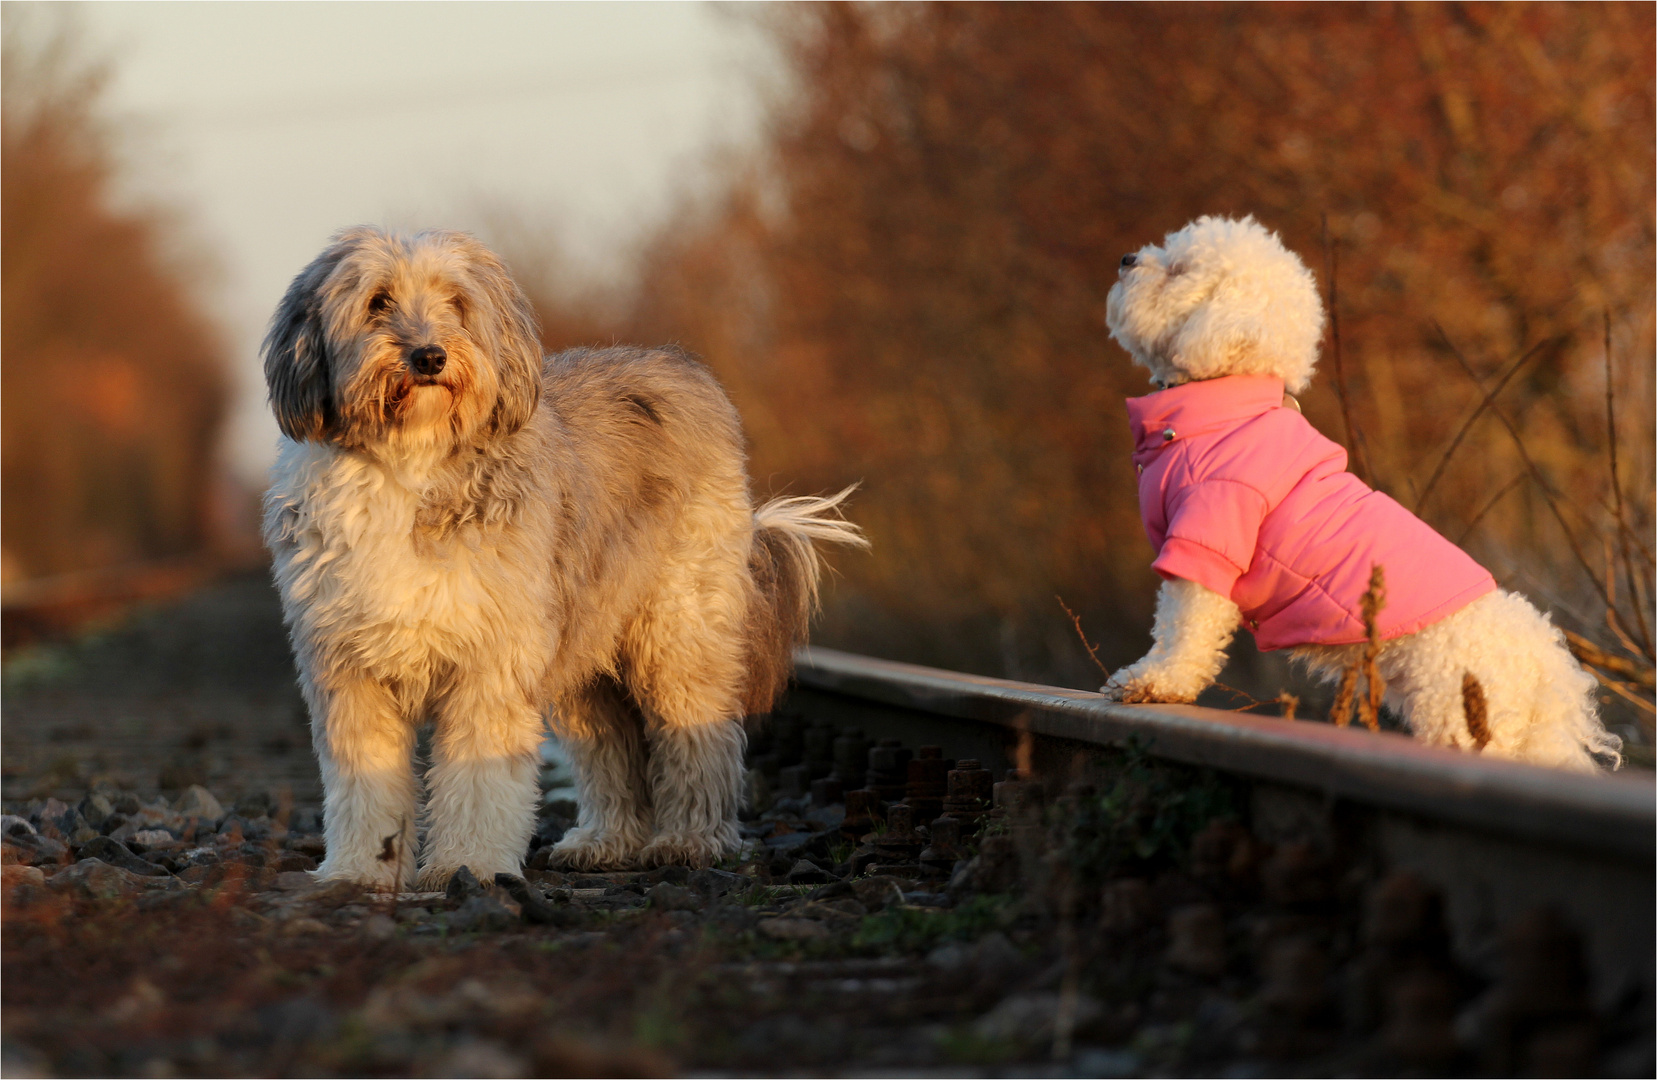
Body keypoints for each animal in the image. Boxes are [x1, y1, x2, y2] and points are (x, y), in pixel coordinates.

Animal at [263, 225, 861, 887]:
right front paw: (359, 872)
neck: (411, 463)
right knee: (612, 748)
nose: (429, 357)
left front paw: (467, 866)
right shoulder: (348, 667)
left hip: (677, 631)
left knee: (699, 737)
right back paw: (605, 841)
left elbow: (479, 776)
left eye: (457, 303)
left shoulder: (491, 659)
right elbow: (363, 780)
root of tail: (681, 365)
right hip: (587, 653)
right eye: (377, 302)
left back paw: (690, 840)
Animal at [1100, 213, 1617, 768]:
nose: (1126, 259)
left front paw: (1151, 683)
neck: (1224, 403)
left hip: (1463, 717)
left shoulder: (1208, 540)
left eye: (1177, 270)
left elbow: (1183, 632)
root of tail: (1545, 662)